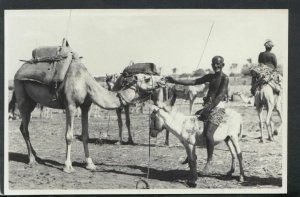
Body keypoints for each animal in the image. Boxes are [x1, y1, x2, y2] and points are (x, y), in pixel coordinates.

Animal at [13, 39, 164, 172]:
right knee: (25, 128)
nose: (163, 80)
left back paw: (37, 156)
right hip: (21, 94)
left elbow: (85, 135)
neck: (86, 82)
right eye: (147, 78)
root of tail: (19, 70)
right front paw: (68, 166)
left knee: (22, 127)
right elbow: (69, 136)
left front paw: (90, 164)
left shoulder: (86, 106)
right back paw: (32, 160)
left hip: (32, 101)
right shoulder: (70, 105)